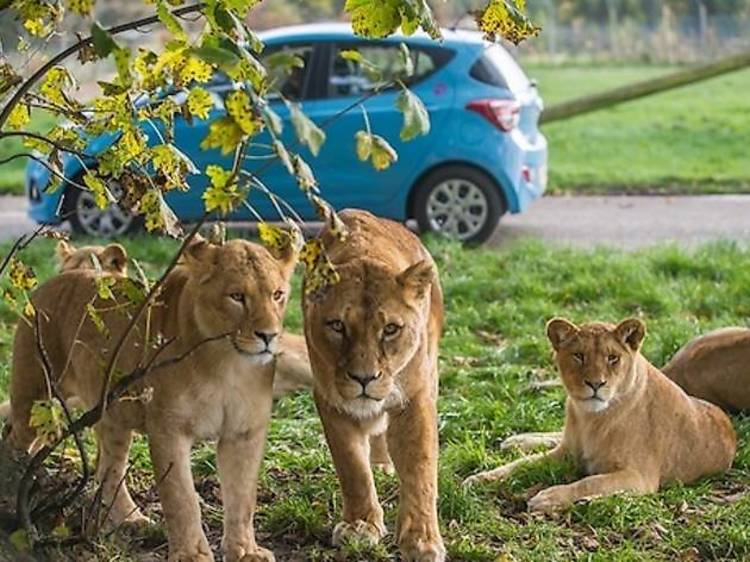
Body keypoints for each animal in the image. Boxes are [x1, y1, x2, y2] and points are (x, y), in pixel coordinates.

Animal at [8, 237, 298, 560]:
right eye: (237, 296)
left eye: (277, 295)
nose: (269, 336)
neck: (228, 364)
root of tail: (55, 279)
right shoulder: (169, 429)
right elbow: (181, 497)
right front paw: (191, 554)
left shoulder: (244, 433)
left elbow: (243, 498)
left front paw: (245, 550)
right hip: (36, 396)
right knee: (16, 440)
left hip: (112, 416)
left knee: (107, 467)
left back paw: (131, 520)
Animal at [306, 210, 446, 560]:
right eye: (337, 325)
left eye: (391, 329)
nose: (364, 378)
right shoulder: (331, 399)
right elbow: (352, 466)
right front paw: (360, 525)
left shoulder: (415, 397)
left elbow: (420, 468)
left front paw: (421, 541)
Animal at [468, 318, 736, 510]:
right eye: (578, 356)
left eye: (612, 358)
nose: (595, 384)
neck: (591, 419)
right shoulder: (566, 453)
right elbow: (521, 464)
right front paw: (481, 478)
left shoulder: (639, 477)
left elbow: (589, 482)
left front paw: (548, 497)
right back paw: (515, 441)